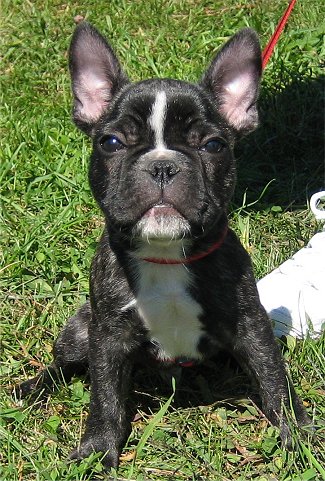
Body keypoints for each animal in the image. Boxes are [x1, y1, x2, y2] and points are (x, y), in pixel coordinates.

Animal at [17, 23, 308, 468]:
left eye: (213, 145)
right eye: (111, 142)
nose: (162, 165)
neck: (166, 254)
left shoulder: (251, 324)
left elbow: (273, 377)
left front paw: (300, 436)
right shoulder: (108, 335)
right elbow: (105, 396)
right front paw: (96, 449)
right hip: (81, 328)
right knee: (64, 364)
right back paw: (32, 388)